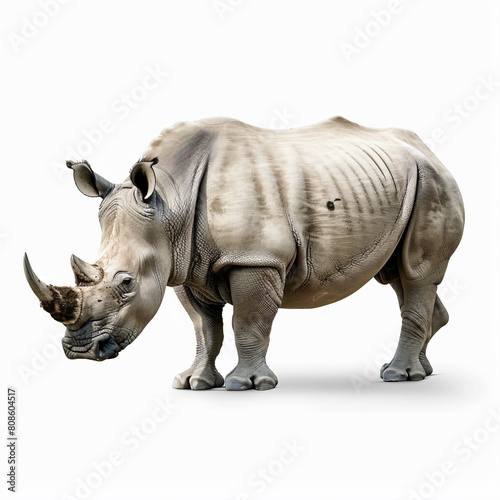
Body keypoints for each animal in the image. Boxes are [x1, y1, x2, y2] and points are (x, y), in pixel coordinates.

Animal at [24, 117, 464, 390]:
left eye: (127, 283)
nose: (81, 352)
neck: (170, 201)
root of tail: (431, 151)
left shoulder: (255, 257)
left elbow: (248, 323)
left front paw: (247, 384)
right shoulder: (183, 265)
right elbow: (205, 330)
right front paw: (193, 382)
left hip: (433, 184)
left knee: (417, 272)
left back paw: (399, 375)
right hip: (406, 184)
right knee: (398, 277)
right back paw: (420, 370)